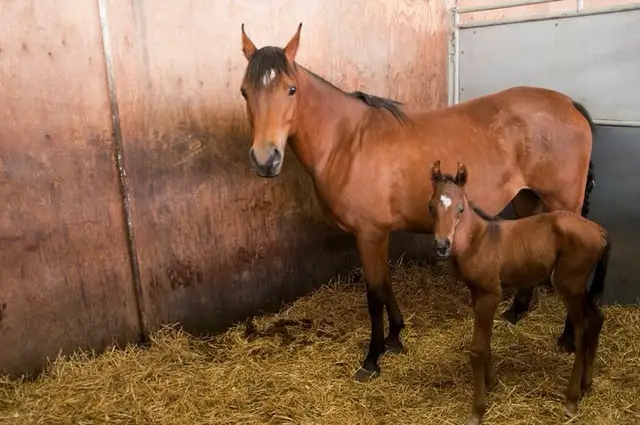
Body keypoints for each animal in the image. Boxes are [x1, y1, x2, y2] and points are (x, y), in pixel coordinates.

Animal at [239, 23, 597, 381]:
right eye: (244, 92)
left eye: (291, 89)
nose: (265, 160)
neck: (348, 141)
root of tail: (568, 104)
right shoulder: (377, 234)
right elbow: (386, 285)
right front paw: (395, 337)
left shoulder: (369, 234)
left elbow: (374, 295)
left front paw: (372, 359)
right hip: (526, 198)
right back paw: (516, 312)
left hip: (563, 204)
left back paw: (567, 338)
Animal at [428, 160, 609, 425]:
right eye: (431, 206)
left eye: (460, 208)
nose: (442, 246)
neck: (480, 239)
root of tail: (600, 231)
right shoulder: (477, 292)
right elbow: (486, 339)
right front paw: (492, 382)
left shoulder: (491, 294)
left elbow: (477, 348)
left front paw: (477, 410)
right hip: (578, 287)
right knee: (596, 319)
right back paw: (587, 385)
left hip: (568, 285)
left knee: (583, 328)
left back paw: (571, 399)